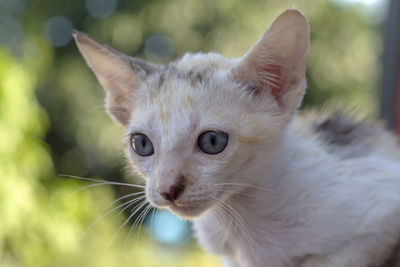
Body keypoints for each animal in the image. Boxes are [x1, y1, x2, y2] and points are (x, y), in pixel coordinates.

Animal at [73, 8, 400, 267]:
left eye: (212, 142)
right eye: (141, 144)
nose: (167, 189)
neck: (238, 223)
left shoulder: (382, 217)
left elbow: (326, 261)